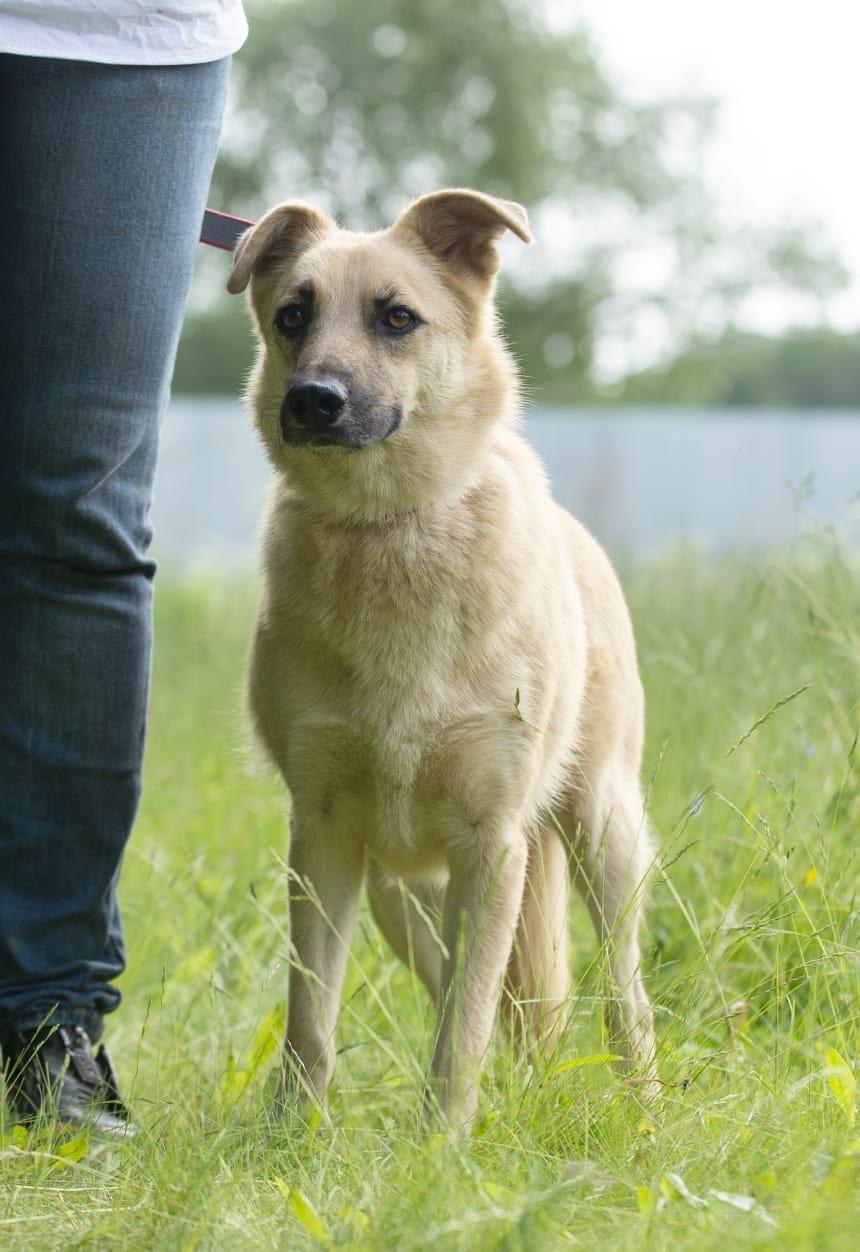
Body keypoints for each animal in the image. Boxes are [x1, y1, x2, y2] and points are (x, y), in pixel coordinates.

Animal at [229, 187, 660, 1126]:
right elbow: (312, 1019)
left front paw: (444, 1147)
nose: (313, 399)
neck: (387, 529)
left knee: (621, 995)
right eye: (292, 316)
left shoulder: (492, 844)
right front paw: (290, 1139)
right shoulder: (322, 837)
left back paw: (642, 1112)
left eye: (397, 318)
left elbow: (463, 1029)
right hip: (404, 893)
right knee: (490, 1003)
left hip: (599, 830)